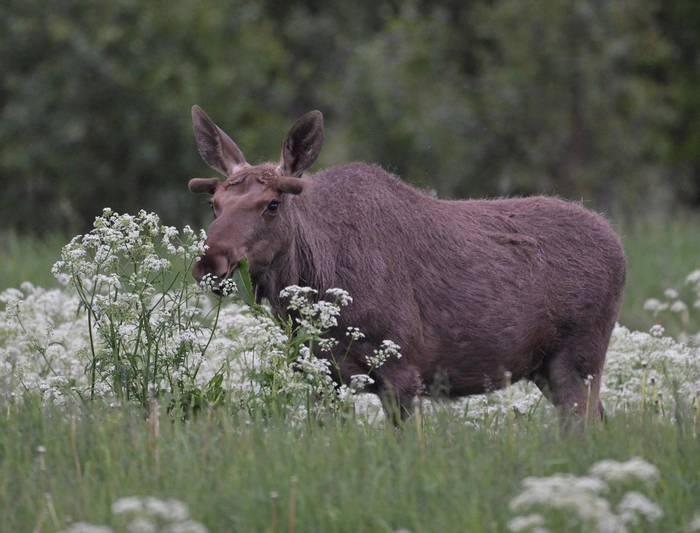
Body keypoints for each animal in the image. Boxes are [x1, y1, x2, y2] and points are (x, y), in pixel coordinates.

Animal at [189, 106, 628, 426]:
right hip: (546, 367)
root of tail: (619, 247)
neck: (317, 281)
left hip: (579, 356)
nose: (211, 261)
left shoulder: (402, 370)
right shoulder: (320, 374)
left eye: (272, 204)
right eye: (215, 205)